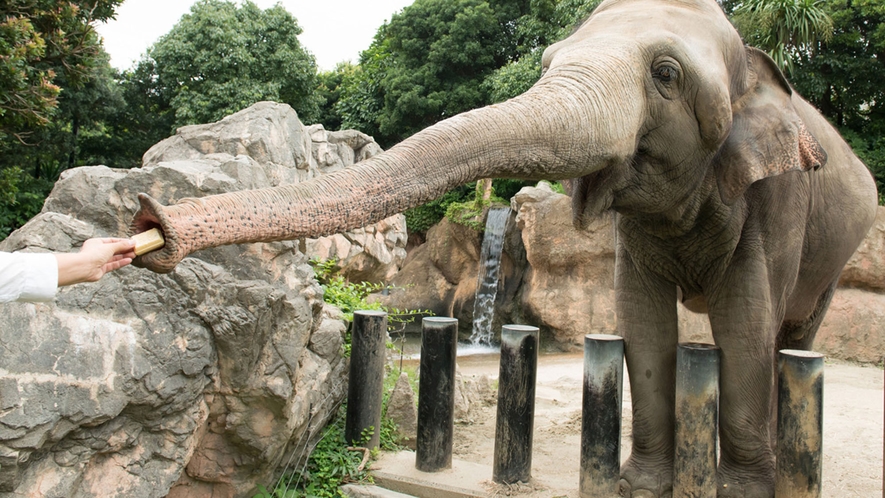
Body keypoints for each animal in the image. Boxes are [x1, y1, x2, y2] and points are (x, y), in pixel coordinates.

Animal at [131, 0, 876, 494]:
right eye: (545, 63)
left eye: (666, 74)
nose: (152, 223)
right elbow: (642, 324)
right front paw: (640, 485)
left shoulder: (778, 199)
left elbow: (744, 320)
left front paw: (742, 491)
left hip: (834, 248)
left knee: (787, 336)